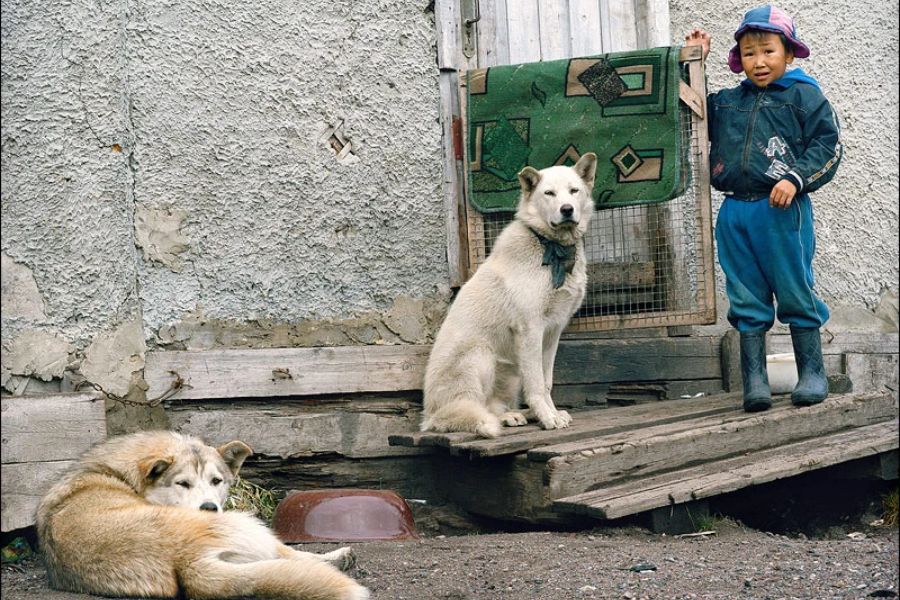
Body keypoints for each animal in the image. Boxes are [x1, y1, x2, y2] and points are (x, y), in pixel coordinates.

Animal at [422, 152, 596, 438]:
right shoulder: (531, 330)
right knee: (475, 409)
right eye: (549, 193)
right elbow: (536, 385)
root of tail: (430, 415)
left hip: (512, 370)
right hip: (481, 355)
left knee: (495, 405)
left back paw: (516, 415)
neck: (551, 249)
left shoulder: (552, 332)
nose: (567, 209)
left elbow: (546, 383)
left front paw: (551, 413)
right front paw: (547, 418)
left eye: (574, 191)